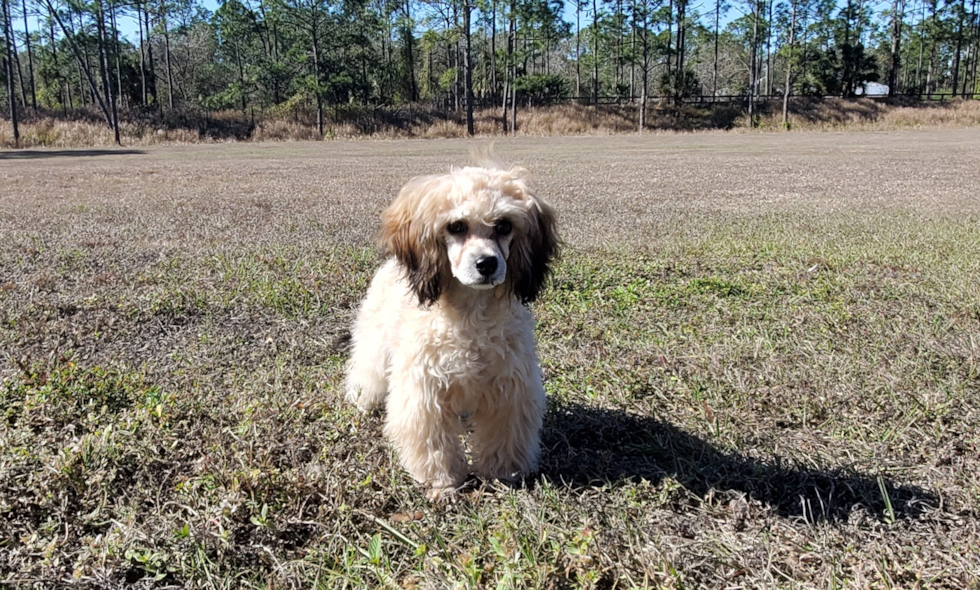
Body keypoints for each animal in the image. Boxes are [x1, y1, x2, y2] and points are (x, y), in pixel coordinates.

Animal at [344, 162, 560, 500]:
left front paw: (501, 474)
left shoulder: (510, 388)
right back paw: (362, 400)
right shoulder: (425, 392)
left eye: (504, 225)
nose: (487, 263)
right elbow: (433, 442)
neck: (471, 317)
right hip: (375, 346)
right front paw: (442, 482)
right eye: (456, 226)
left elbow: (504, 435)